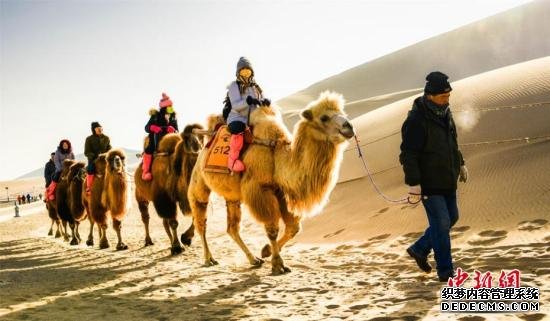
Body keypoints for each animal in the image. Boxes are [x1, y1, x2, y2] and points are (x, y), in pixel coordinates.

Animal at [135, 124, 206, 254]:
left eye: (202, 137)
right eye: (187, 138)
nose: (197, 148)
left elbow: (195, 217)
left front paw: (186, 239)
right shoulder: (167, 199)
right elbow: (173, 222)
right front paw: (178, 247)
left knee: (164, 221)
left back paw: (170, 242)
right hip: (140, 195)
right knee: (146, 217)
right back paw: (148, 241)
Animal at [188, 91, 356, 274]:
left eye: (342, 111)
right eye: (324, 117)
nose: (349, 127)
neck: (277, 154)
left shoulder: (281, 191)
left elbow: (293, 228)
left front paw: (266, 251)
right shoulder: (261, 189)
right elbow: (272, 229)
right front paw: (278, 264)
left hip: (232, 196)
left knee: (232, 228)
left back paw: (253, 259)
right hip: (198, 182)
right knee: (201, 219)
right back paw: (209, 259)